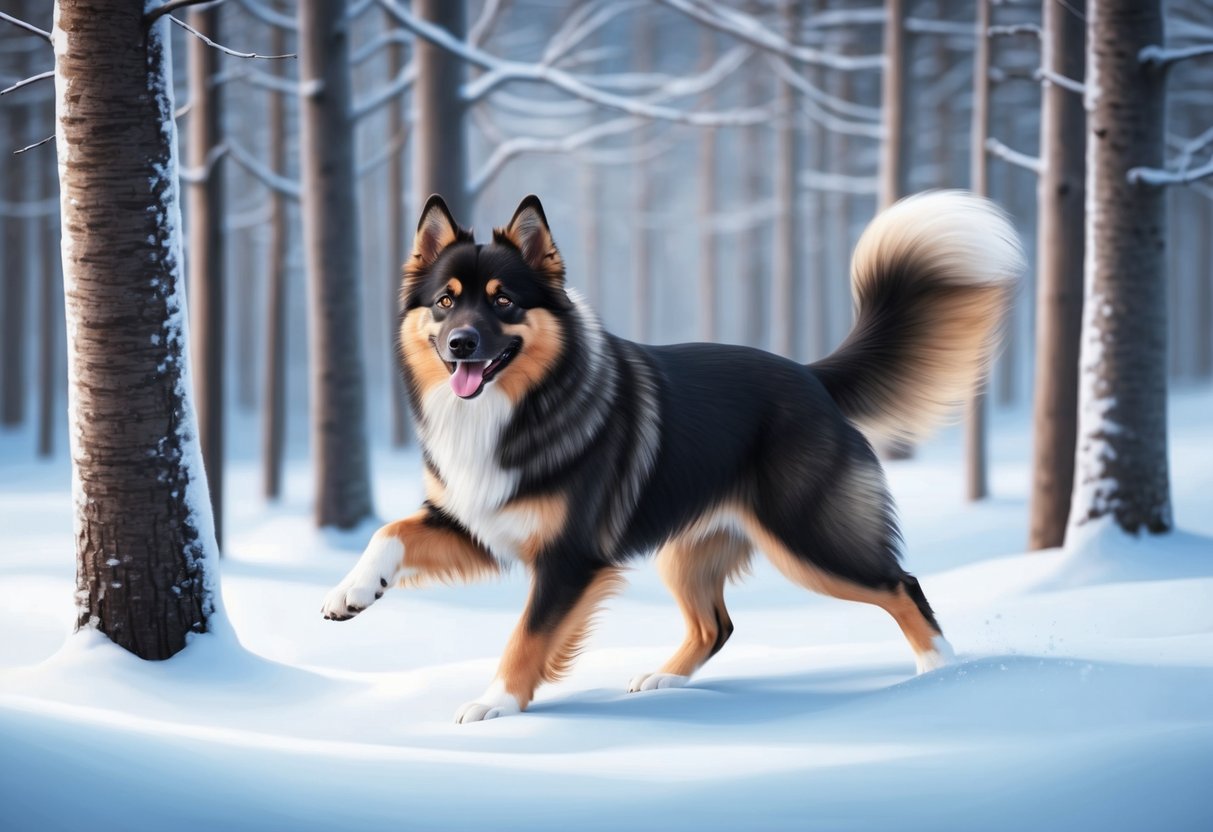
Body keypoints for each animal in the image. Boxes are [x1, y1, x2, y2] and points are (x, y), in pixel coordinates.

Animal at [322, 189, 1023, 722]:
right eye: (445, 301)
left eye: (503, 301)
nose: (462, 344)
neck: (521, 407)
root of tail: (809, 377)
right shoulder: (478, 520)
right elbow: (392, 531)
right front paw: (353, 592)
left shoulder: (569, 557)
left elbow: (526, 636)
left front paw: (497, 704)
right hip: (689, 549)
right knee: (717, 625)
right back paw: (665, 680)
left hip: (809, 538)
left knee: (900, 583)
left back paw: (939, 673)